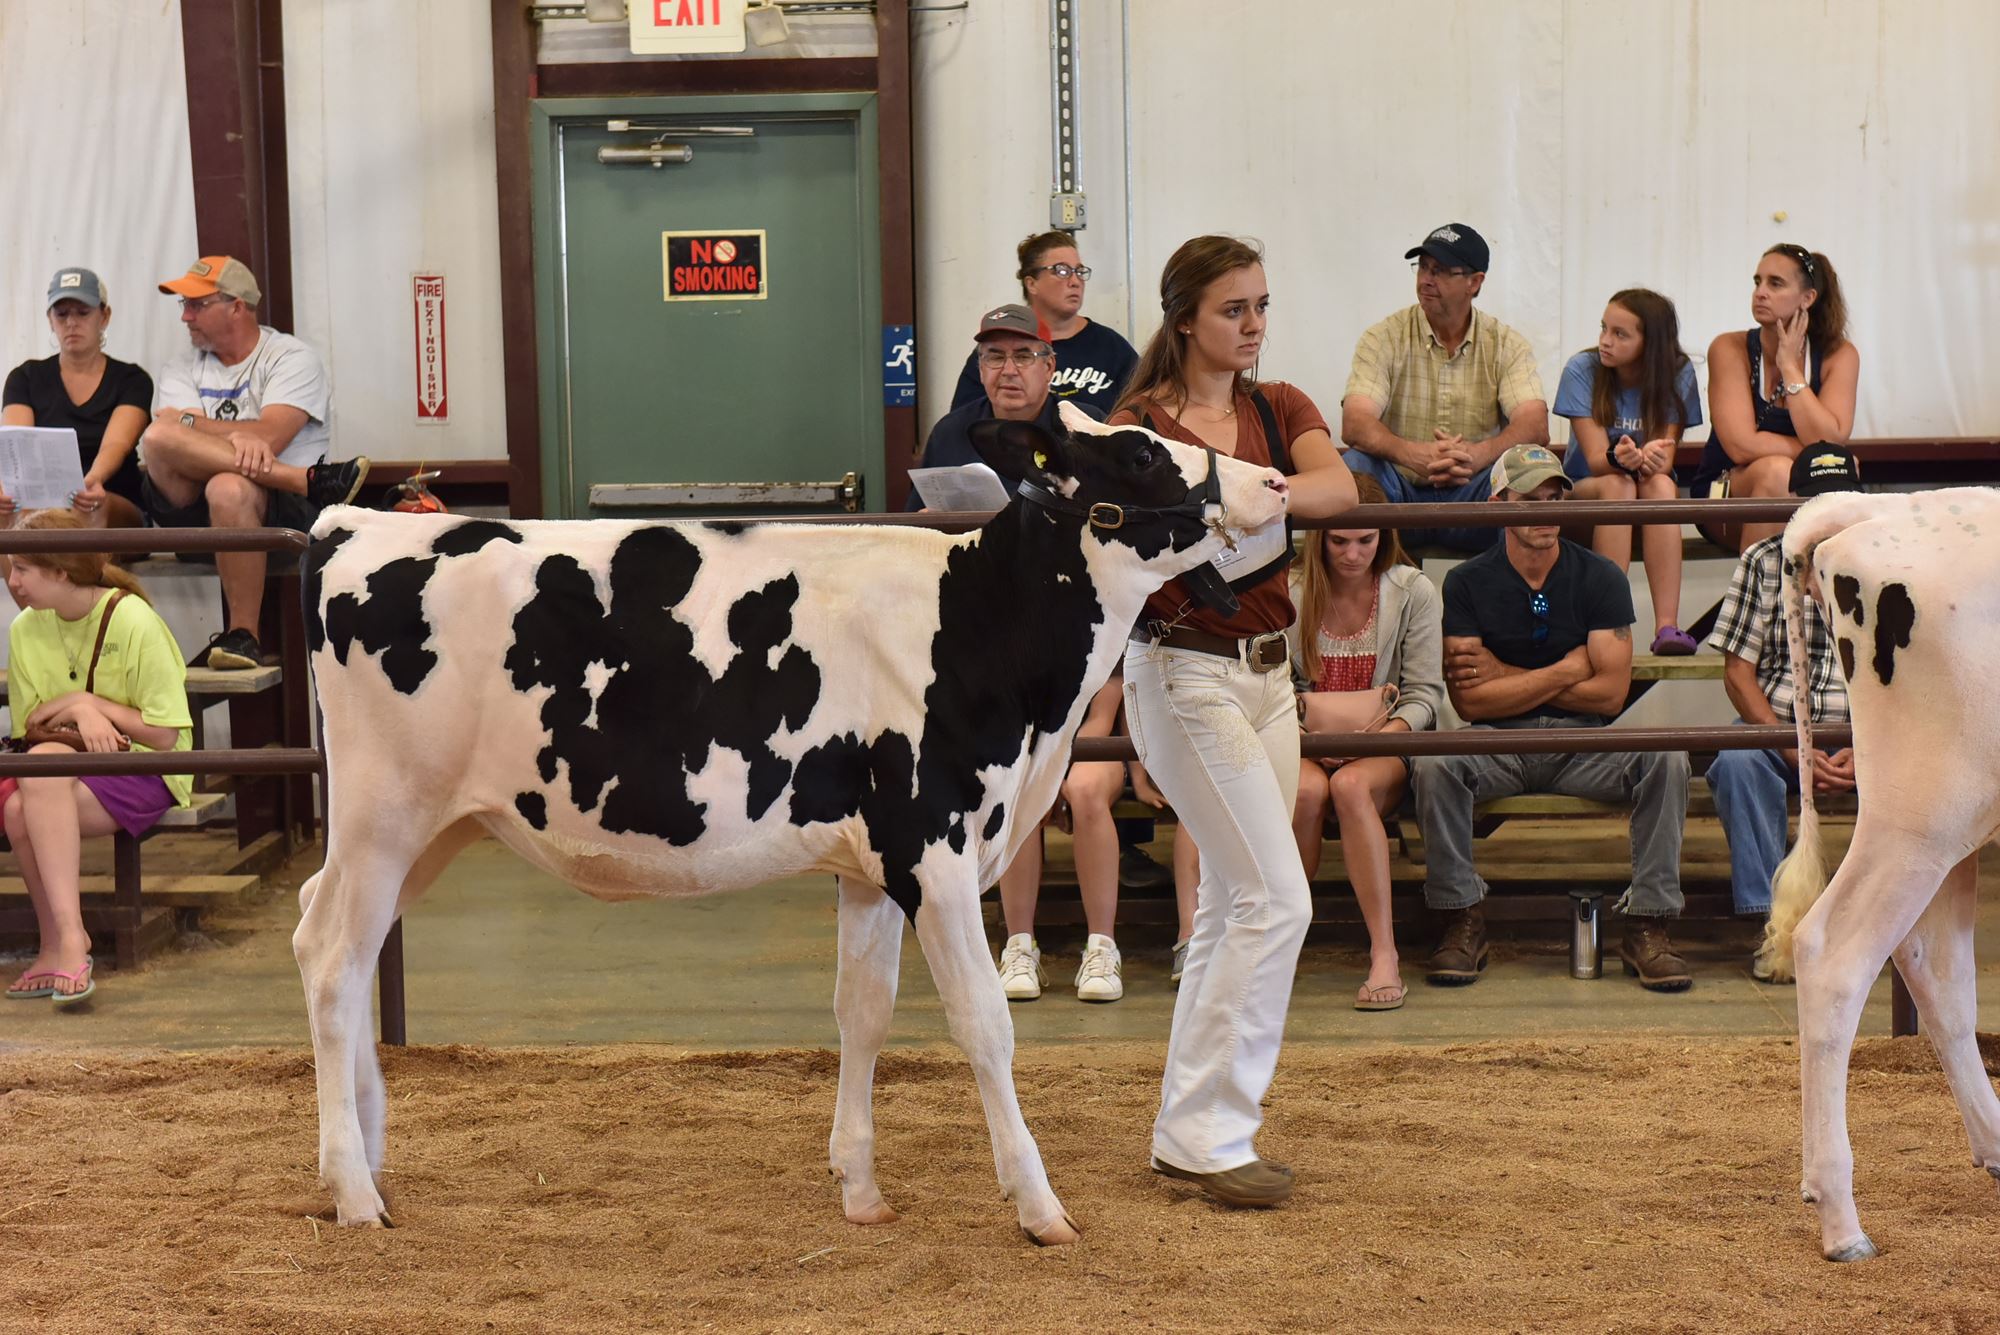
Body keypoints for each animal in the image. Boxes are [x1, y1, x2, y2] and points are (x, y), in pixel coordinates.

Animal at [304, 403, 1288, 1239]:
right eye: (1142, 452)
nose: (1276, 480)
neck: (984, 634)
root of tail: (350, 524)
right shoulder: (932, 846)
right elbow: (983, 1022)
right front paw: (1040, 1205)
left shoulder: (870, 865)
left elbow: (865, 1014)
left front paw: (860, 1187)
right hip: (382, 815)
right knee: (335, 964)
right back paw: (354, 1190)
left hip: (432, 828)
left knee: (325, 937)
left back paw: (369, 1157)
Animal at [1760, 489, 1992, 1263]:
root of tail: (1874, 506)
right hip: (1925, 812)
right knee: (1834, 953)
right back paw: (1842, 1223)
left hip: (1949, 828)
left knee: (1935, 969)